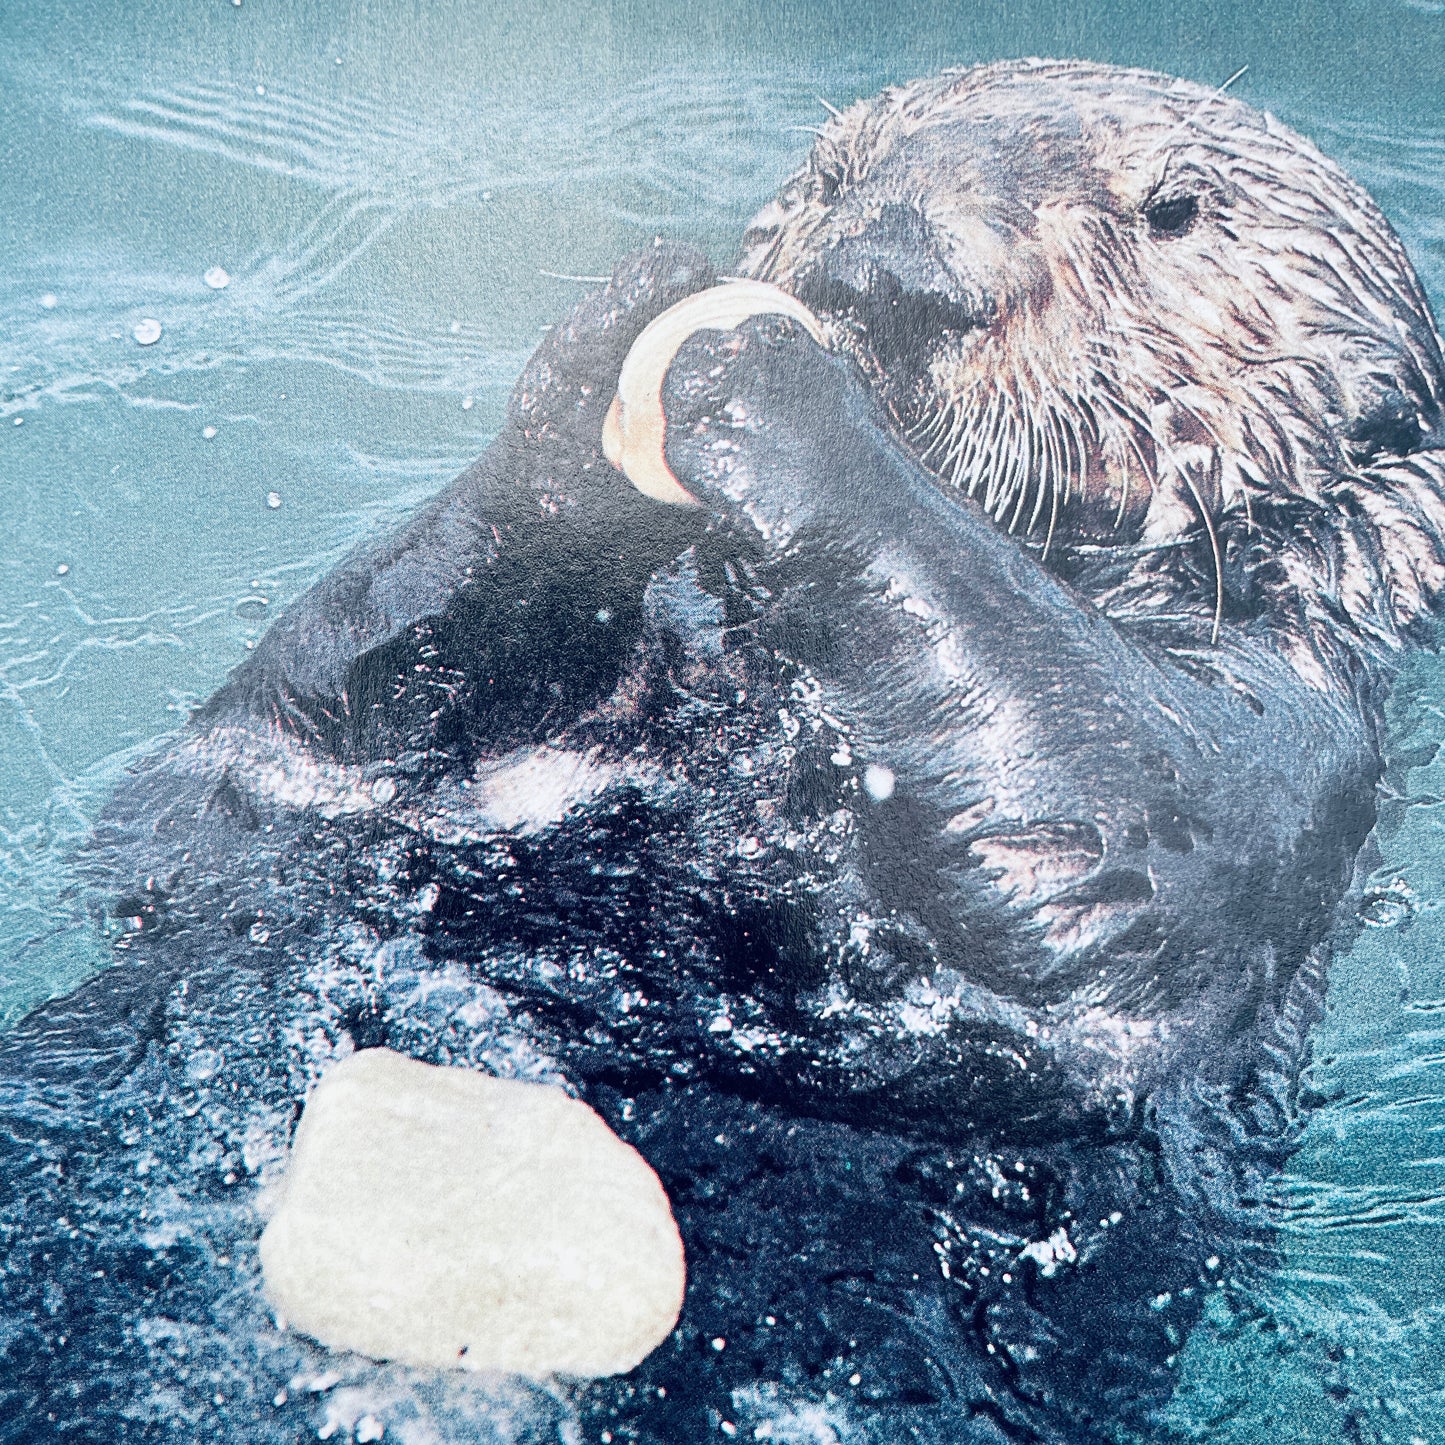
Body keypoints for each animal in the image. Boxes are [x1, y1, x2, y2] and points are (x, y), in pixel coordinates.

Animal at [2, 60, 1442, 1445]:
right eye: (839, 168)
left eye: (1174, 211)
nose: (889, 269)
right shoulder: (333, 772)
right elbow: (285, 735)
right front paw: (605, 354)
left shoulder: (1291, 733)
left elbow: (1124, 824)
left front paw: (775, 379)